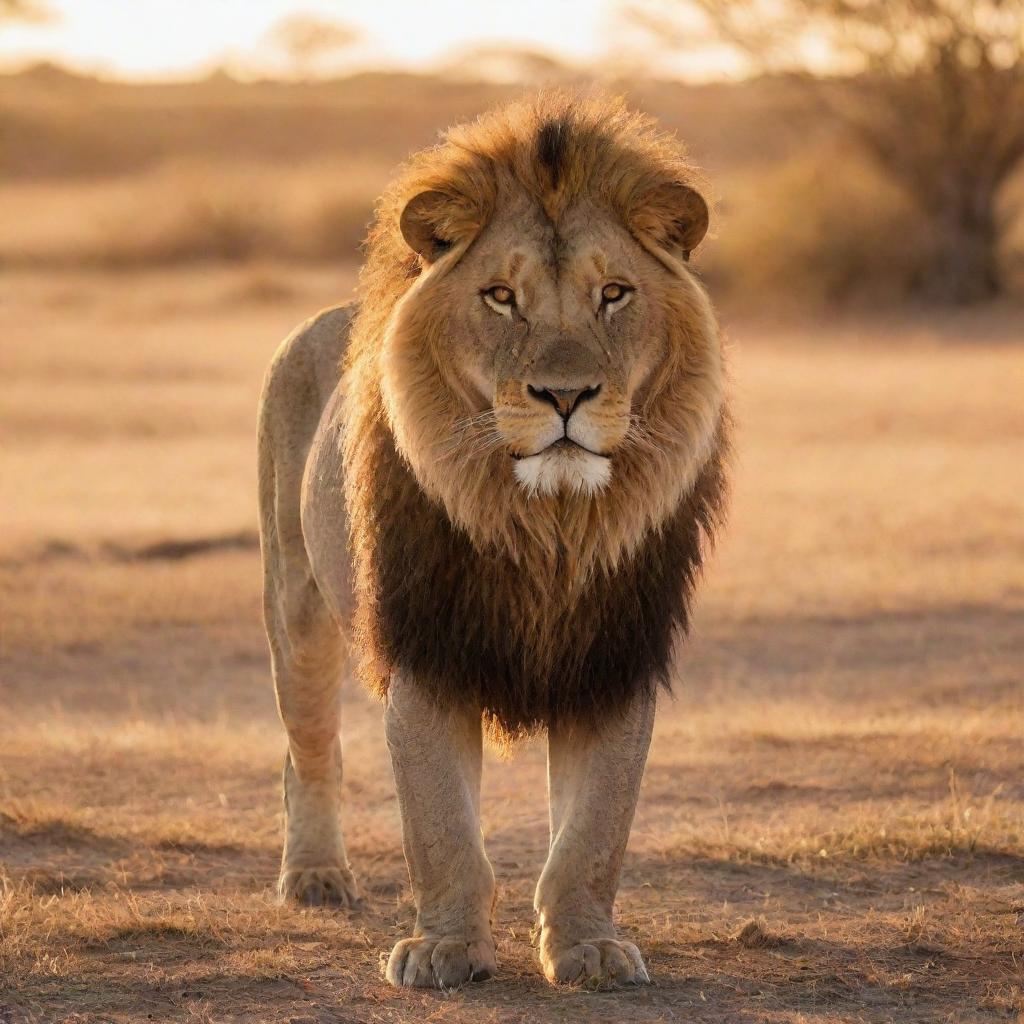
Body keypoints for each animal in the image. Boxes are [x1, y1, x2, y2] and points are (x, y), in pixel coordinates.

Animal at [260, 92, 733, 987]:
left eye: (614, 293)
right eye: (502, 297)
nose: (565, 395)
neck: (550, 525)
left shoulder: (613, 656)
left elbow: (593, 832)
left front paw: (588, 947)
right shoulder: (428, 651)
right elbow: (440, 825)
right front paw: (443, 948)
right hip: (294, 608)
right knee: (309, 752)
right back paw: (315, 876)